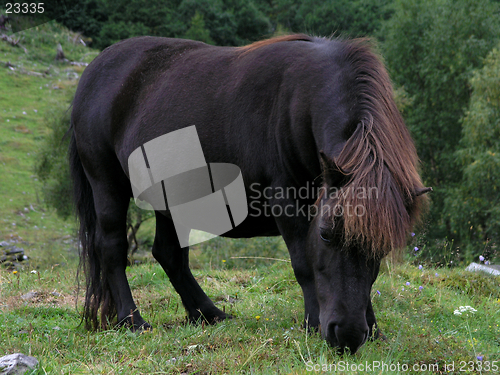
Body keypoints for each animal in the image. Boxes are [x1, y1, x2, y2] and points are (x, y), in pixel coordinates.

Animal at [70, 33, 430, 356]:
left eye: (383, 247)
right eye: (326, 235)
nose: (347, 335)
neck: (302, 99)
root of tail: (94, 72)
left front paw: (374, 329)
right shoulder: (286, 200)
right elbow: (303, 263)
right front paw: (313, 323)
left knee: (169, 254)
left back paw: (209, 314)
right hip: (106, 183)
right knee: (112, 248)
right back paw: (133, 321)